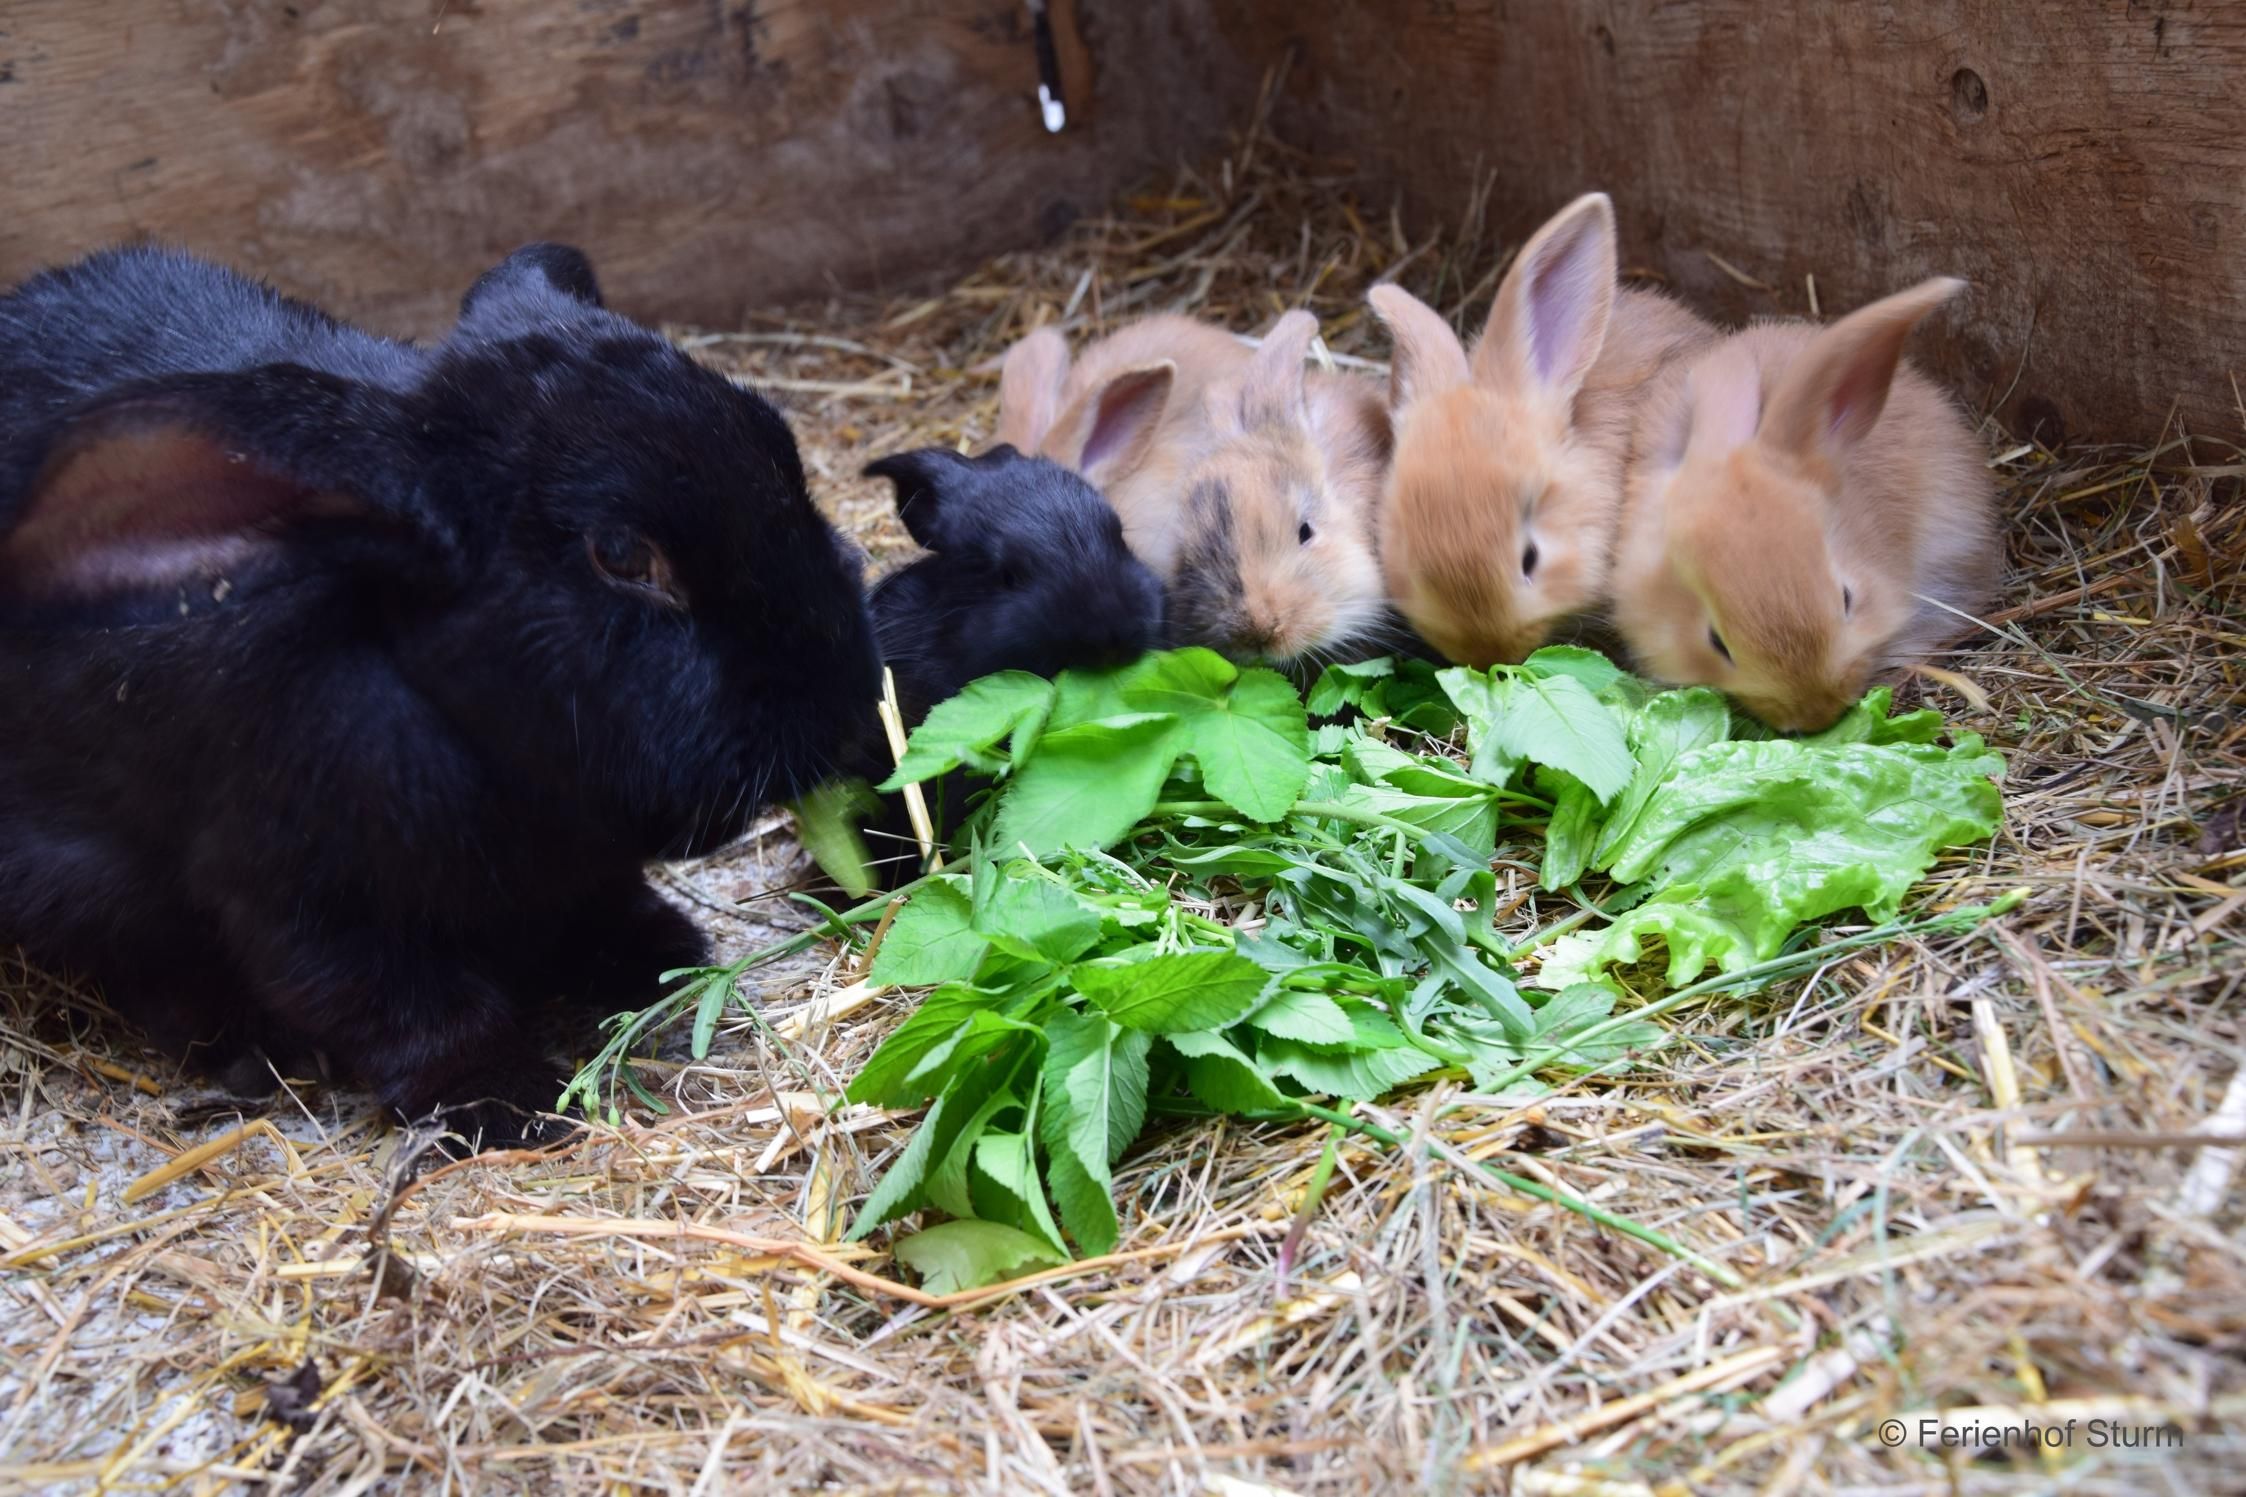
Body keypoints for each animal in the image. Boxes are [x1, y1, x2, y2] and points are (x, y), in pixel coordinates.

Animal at [0, 242, 882, 1146]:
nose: (846, 708)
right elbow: (410, 1008)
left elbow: (593, 904)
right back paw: (246, 1049)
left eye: (781, 446)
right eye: (622, 555)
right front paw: (505, 1100)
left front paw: (655, 955)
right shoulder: (305, 905)